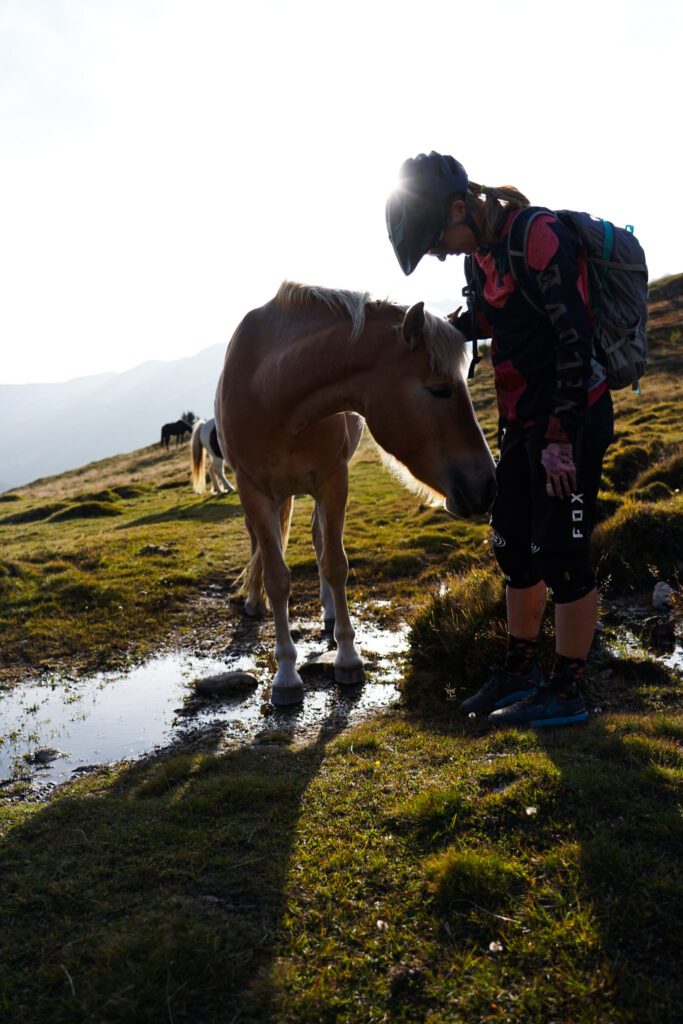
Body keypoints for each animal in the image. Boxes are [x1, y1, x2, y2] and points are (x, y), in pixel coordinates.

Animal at [215, 284, 497, 708]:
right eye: (439, 389)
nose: (489, 485)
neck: (272, 394)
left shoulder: (334, 481)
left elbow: (335, 564)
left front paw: (347, 658)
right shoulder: (254, 492)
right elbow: (277, 577)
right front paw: (285, 675)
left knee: (319, 541)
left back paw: (330, 612)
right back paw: (255, 602)